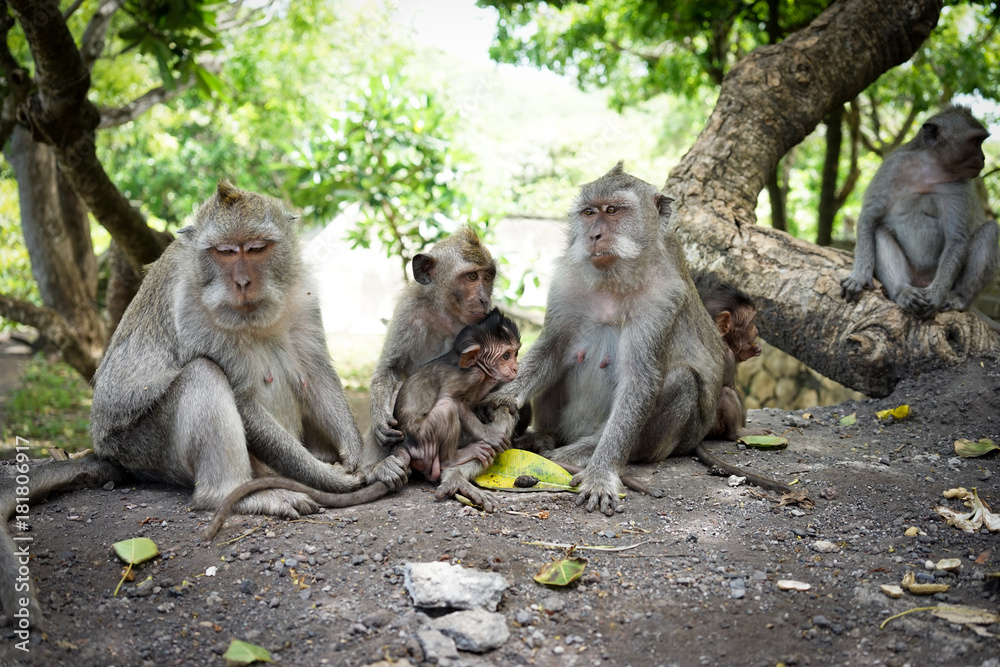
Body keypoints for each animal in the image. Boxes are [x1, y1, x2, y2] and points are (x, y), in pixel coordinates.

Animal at [211, 310, 524, 540]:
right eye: (506, 355)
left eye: (516, 353)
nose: (515, 368)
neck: (480, 371)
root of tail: (407, 446)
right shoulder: (467, 376)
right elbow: (454, 401)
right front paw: (489, 435)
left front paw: (497, 406)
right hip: (424, 436)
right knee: (445, 410)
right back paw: (455, 459)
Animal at [500, 163, 728, 516]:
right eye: (589, 212)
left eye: (612, 210)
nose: (594, 235)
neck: (613, 278)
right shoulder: (566, 279)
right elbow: (551, 348)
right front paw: (500, 398)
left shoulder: (661, 299)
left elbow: (640, 378)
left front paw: (602, 473)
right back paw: (543, 437)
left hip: (675, 440)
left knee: (682, 379)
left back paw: (584, 452)